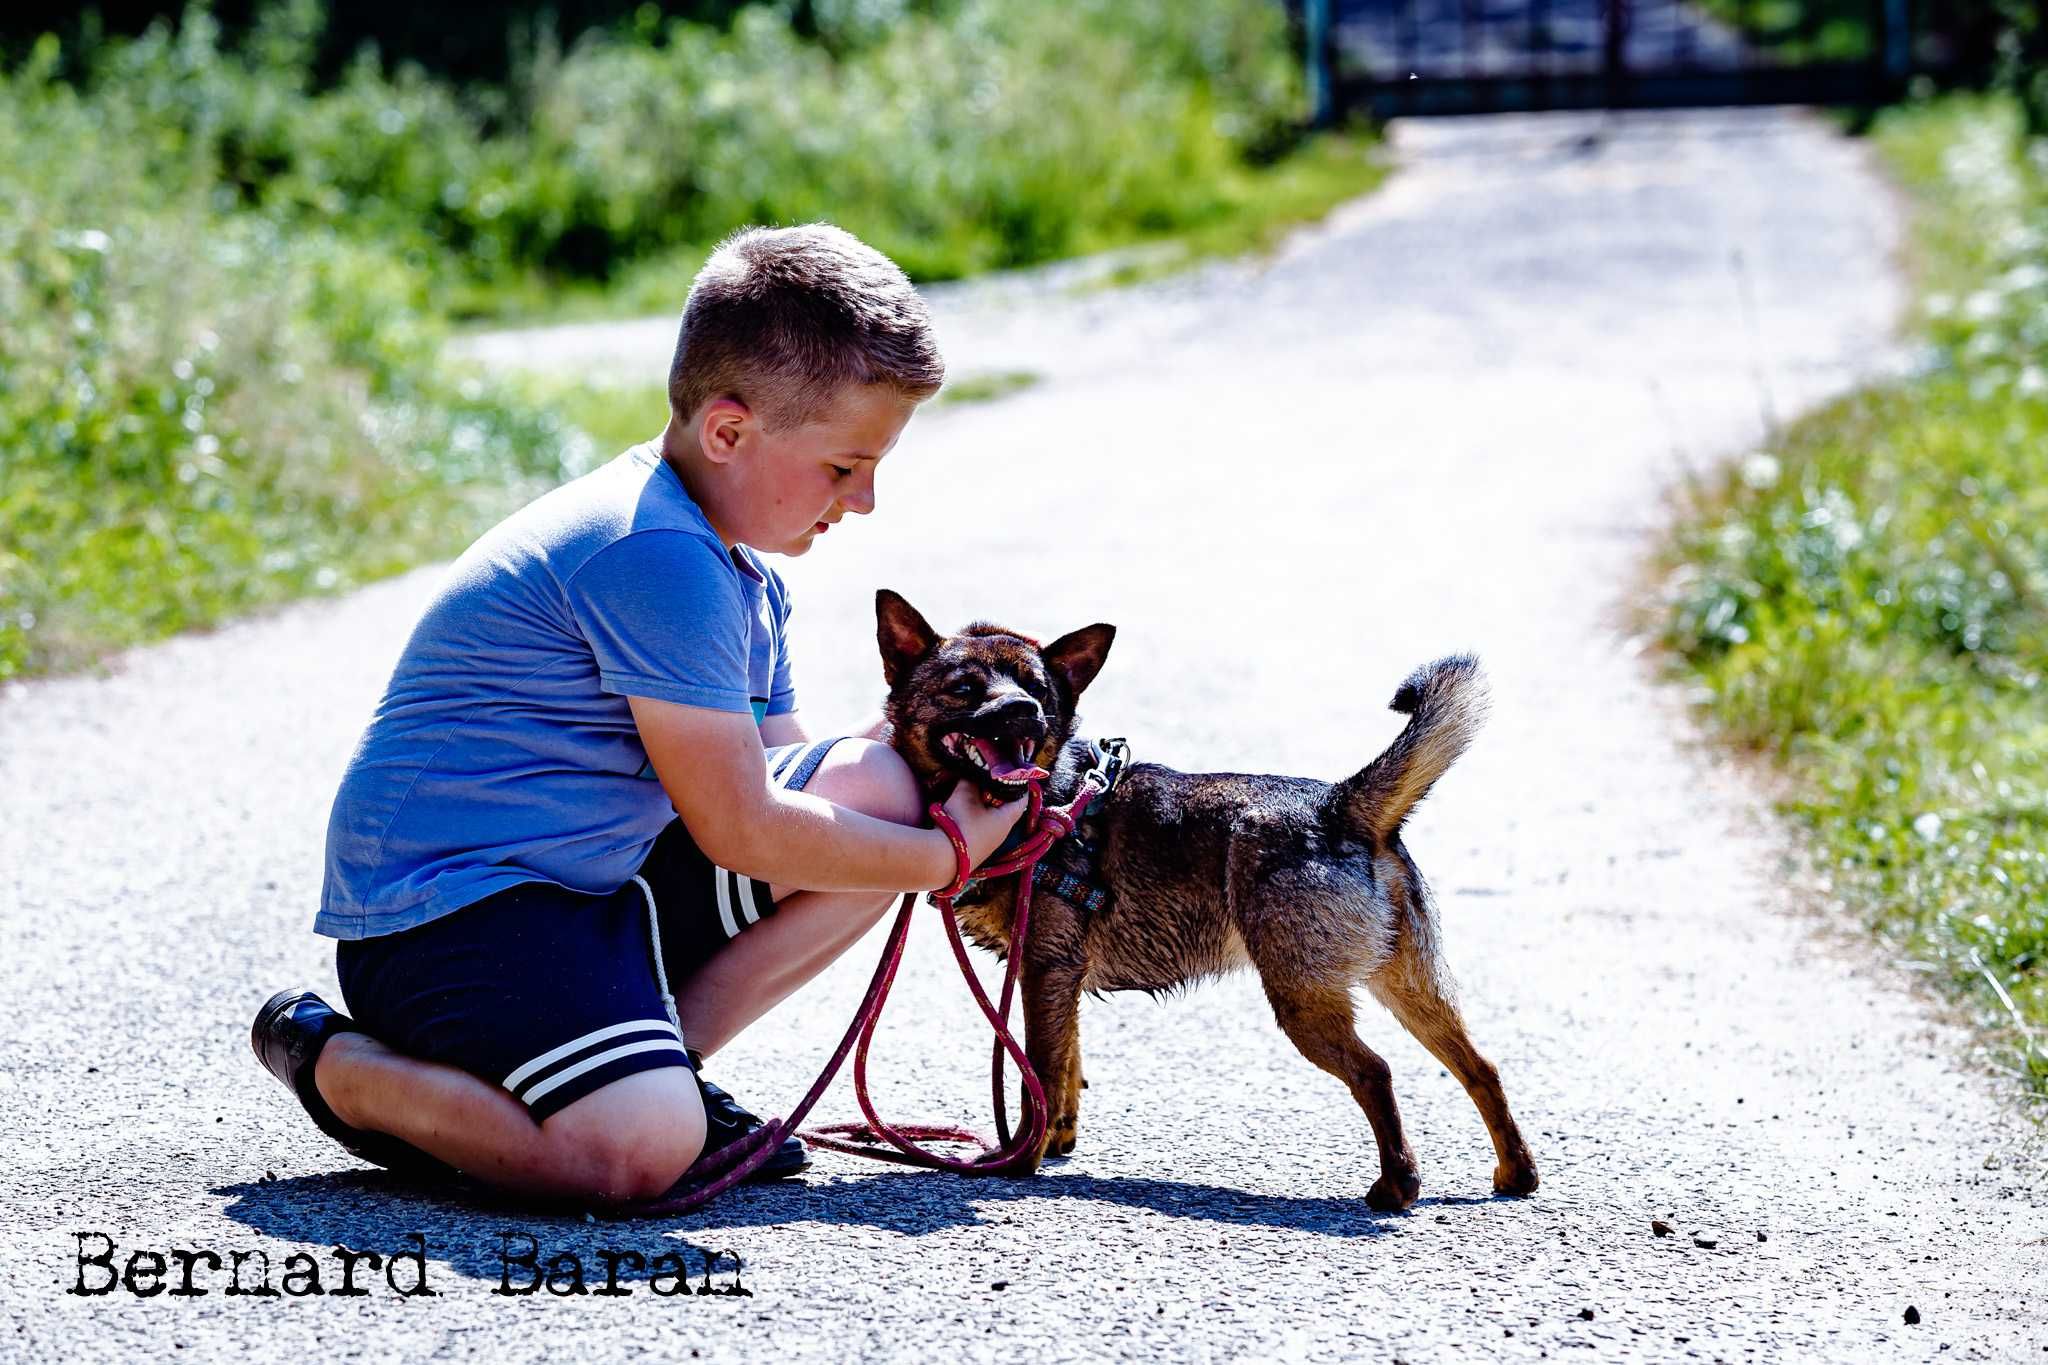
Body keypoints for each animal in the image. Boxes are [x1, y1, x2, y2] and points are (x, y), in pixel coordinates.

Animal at [876, 593, 1540, 1211]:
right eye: (964, 687)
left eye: (1037, 690)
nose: (1023, 711)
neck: (1046, 799)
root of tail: (1340, 806)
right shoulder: (1059, 979)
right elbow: (1065, 1068)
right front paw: (1057, 1138)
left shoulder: (1043, 971)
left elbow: (1035, 1071)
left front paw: (1020, 1159)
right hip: (1412, 988)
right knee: (1481, 1067)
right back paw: (1516, 1171)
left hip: (1304, 999)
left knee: (1375, 1072)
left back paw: (1398, 1184)